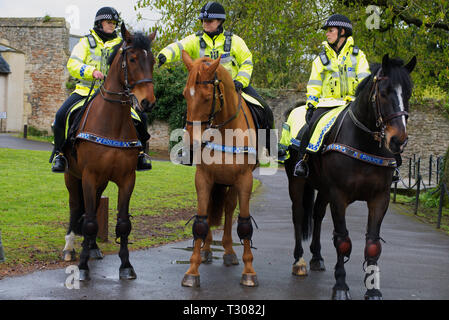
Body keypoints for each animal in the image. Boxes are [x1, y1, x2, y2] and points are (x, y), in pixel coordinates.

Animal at [61, 23, 156, 282]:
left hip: (101, 182)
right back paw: (70, 247)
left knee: (90, 210)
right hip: (72, 177)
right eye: (132, 59)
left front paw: (126, 265)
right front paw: (82, 267)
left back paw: (93, 247)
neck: (111, 123)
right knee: (76, 209)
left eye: (153, 60)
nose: (148, 102)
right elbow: (89, 221)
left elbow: (122, 223)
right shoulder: (88, 177)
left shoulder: (126, 179)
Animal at [178, 52, 260, 288]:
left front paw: (249, 271)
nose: (191, 144)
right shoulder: (204, 179)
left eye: (207, 97)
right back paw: (207, 250)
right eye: (185, 95)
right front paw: (192, 270)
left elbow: (244, 224)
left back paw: (229, 251)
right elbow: (201, 222)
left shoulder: (244, 180)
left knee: (229, 209)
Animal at [286, 53, 414, 298]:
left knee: (317, 214)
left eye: (408, 93)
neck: (364, 142)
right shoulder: (339, 195)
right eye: (384, 92)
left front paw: (373, 290)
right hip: (296, 182)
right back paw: (299, 261)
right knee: (298, 214)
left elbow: (372, 244)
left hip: (323, 190)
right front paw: (340, 286)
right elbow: (343, 241)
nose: (398, 140)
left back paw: (316, 256)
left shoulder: (379, 198)